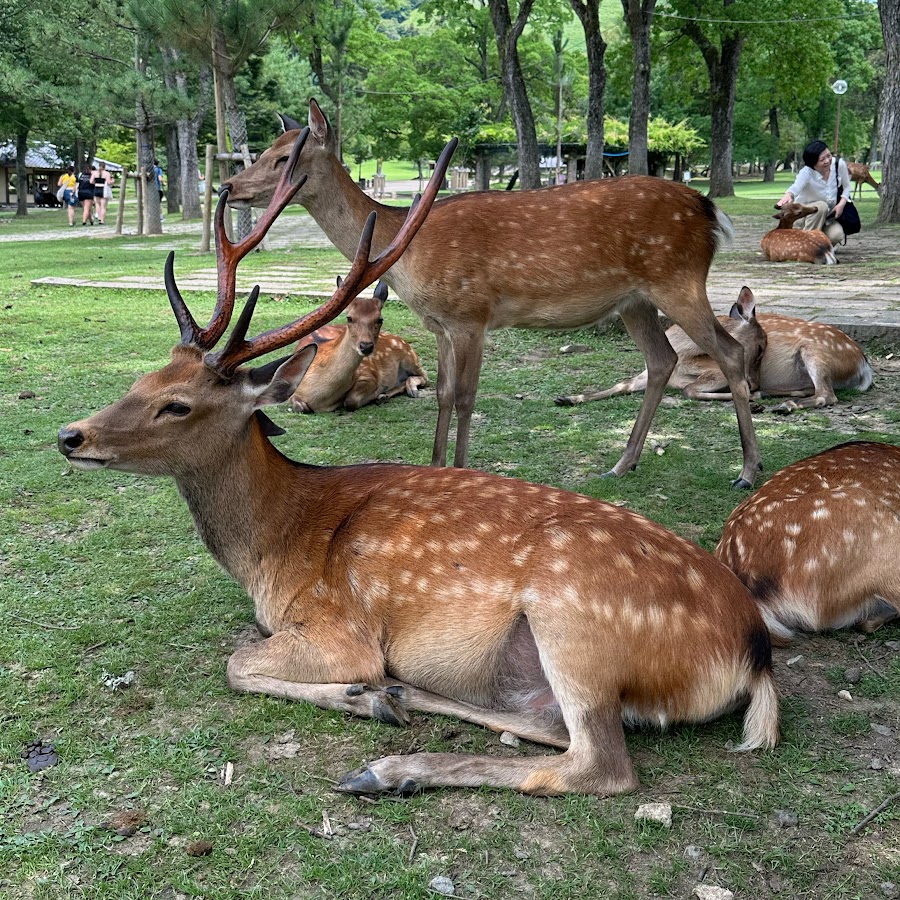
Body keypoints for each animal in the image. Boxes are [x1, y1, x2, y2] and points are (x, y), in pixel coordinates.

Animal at [288, 282, 428, 414]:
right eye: (349, 318)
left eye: (380, 319)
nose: (366, 346)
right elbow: (300, 407)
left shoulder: (369, 375)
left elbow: (351, 401)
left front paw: (377, 392)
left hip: (409, 357)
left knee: (424, 377)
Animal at [560, 288, 764, 404]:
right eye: (761, 348)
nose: (755, 382)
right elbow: (623, 384)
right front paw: (566, 398)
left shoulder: (716, 372)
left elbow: (688, 390)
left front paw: (755, 397)